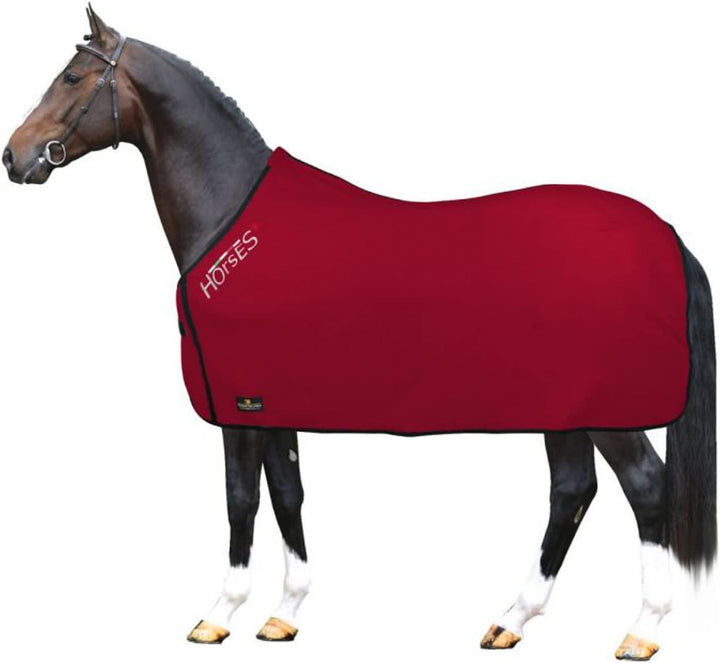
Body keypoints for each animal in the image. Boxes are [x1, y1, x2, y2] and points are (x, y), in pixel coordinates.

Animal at [3, 6, 716, 660]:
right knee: (572, 491)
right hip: (564, 411)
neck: (231, 215)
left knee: (644, 488)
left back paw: (641, 630)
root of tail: (666, 235)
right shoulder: (273, 403)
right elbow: (286, 494)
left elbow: (241, 499)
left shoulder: (238, 404)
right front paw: (284, 613)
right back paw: (511, 620)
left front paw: (219, 614)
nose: (14, 155)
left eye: (71, 77)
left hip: (608, 412)